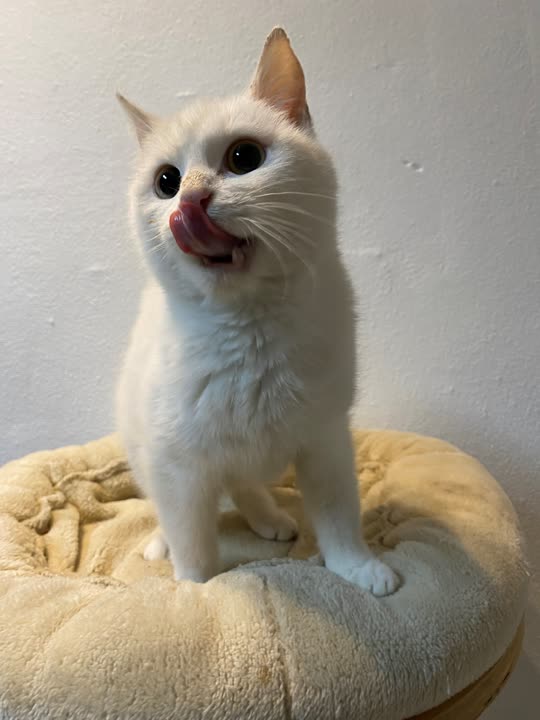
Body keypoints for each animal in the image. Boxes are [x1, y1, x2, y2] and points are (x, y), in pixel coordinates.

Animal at [116, 27, 399, 596]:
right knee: (172, 506)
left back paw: (271, 519)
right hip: (141, 448)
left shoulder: (326, 438)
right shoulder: (177, 467)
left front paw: (357, 568)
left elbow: (339, 514)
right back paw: (163, 544)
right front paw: (194, 590)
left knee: (244, 482)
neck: (251, 328)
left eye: (244, 157)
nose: (191, 200)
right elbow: (193, 543)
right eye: (166, 182)